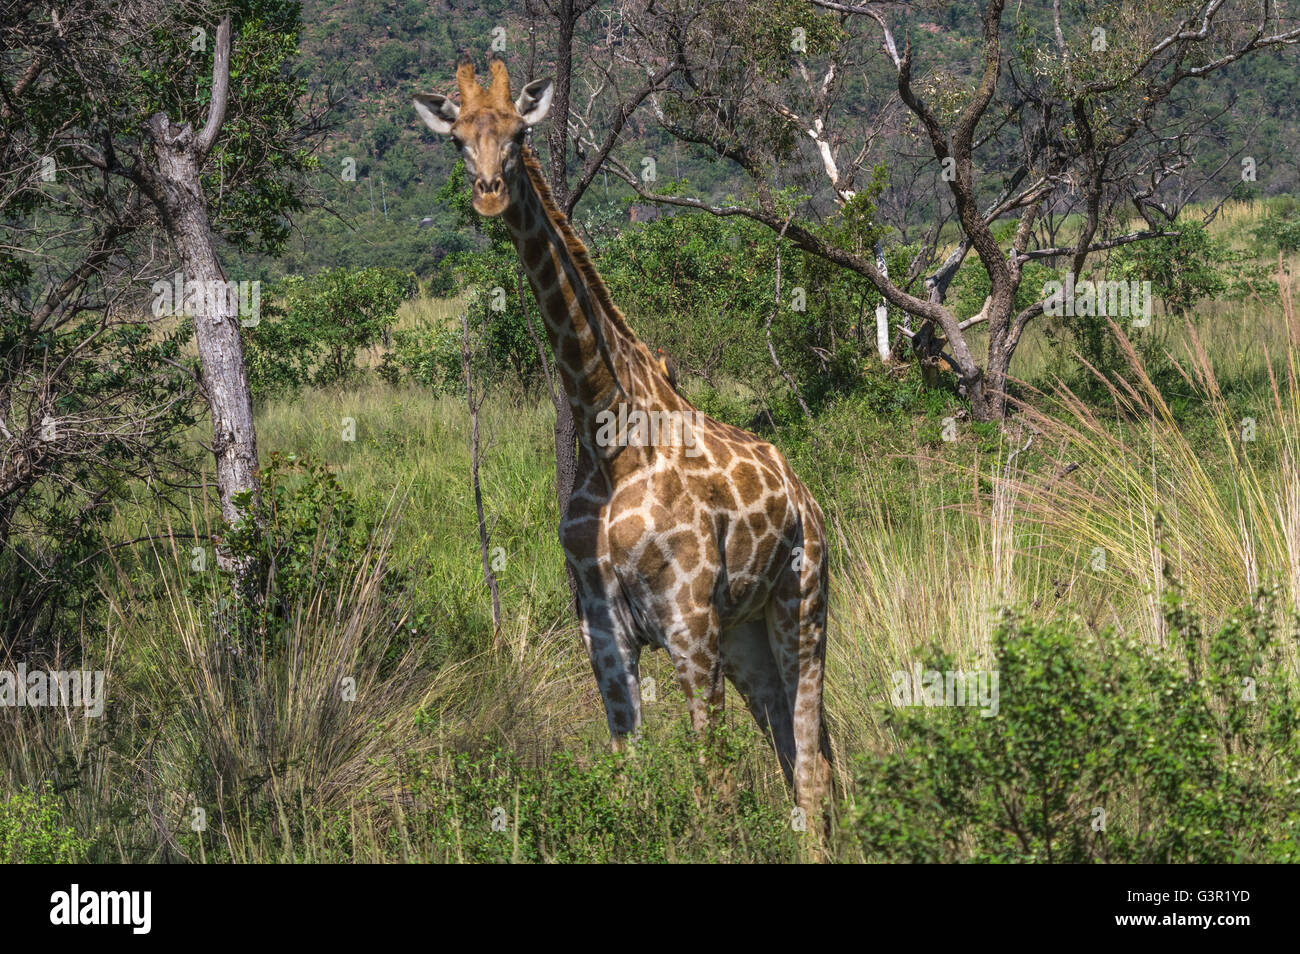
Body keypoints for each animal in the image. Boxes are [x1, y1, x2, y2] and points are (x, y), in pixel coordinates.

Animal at [418, 59, 832, 821]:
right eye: (459, 141)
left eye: (519, 135)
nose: (490, 195)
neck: (609, 438)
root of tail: (808, 499)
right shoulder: (603, 628)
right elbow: (628, 777)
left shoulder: (688, 621)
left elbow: (711, 785)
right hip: (747, 632)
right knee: (799, 752)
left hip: (802, 601)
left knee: (811, 759)